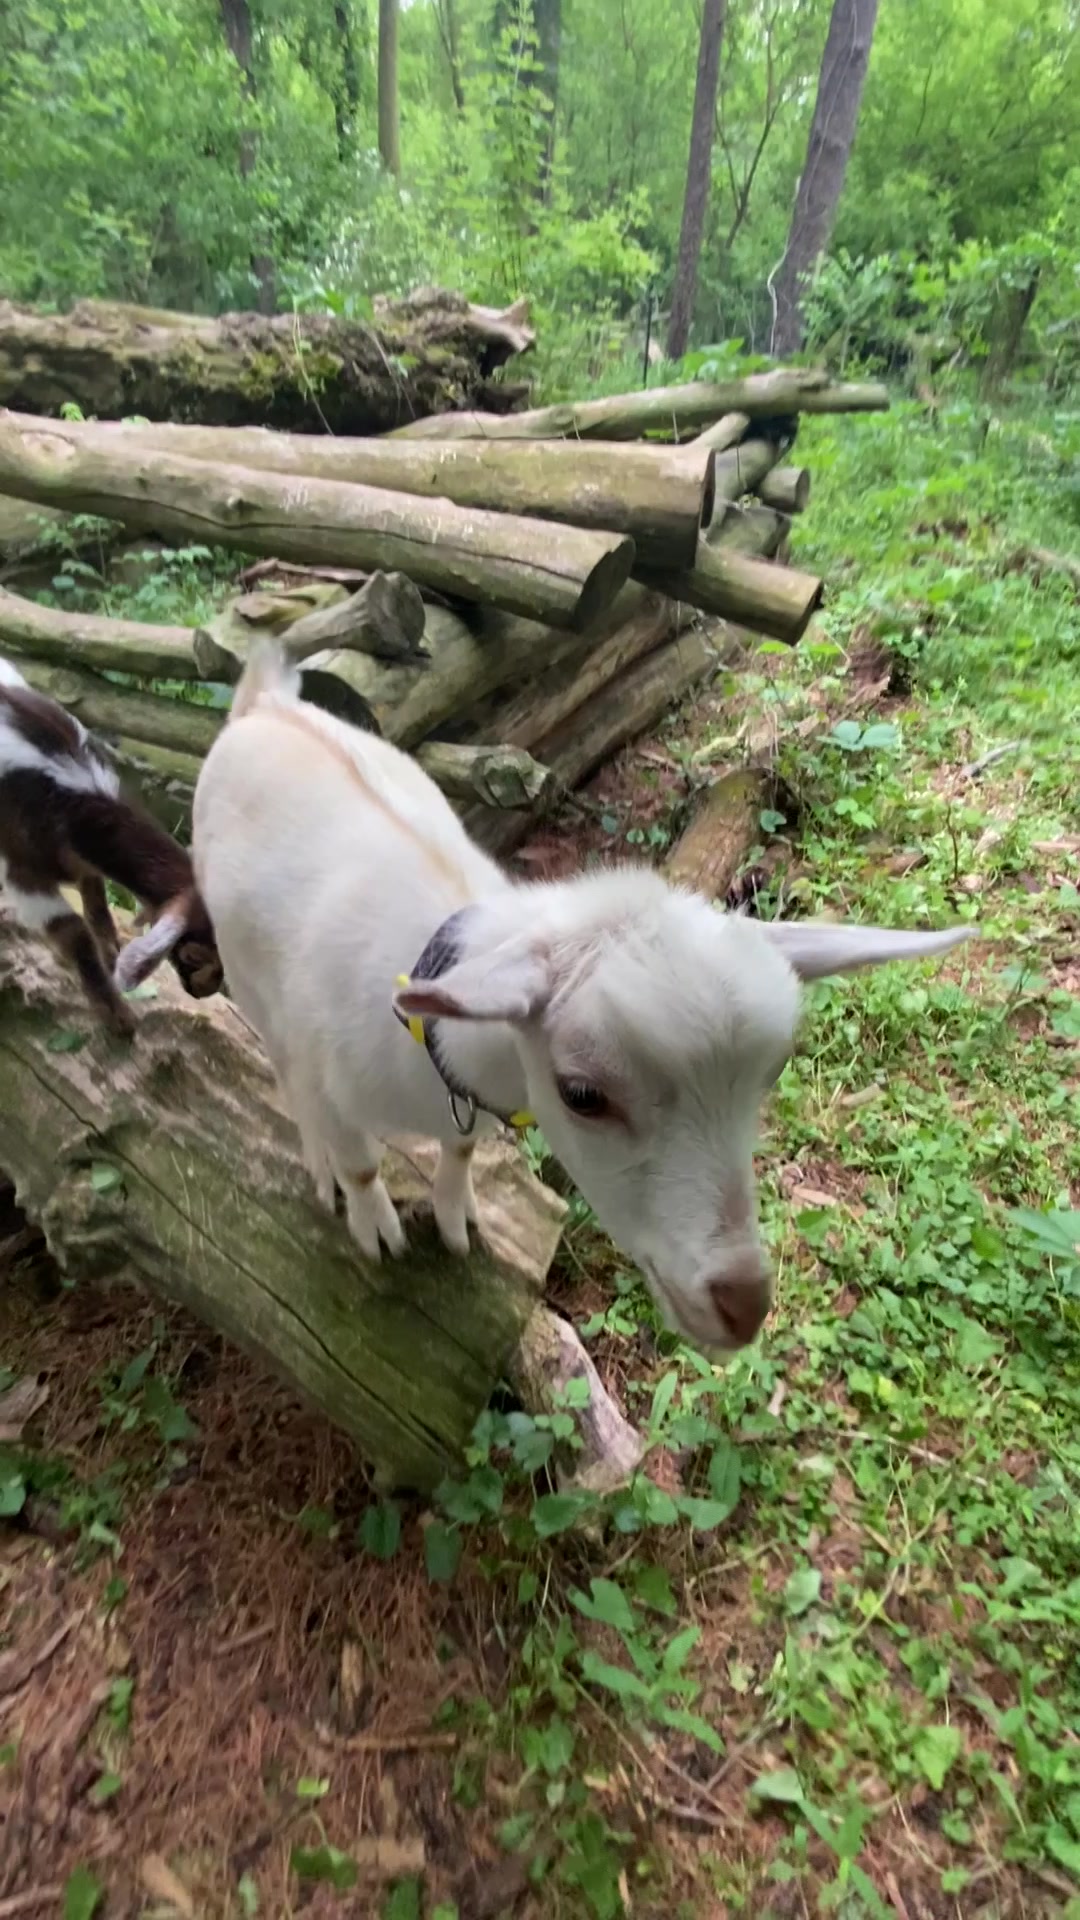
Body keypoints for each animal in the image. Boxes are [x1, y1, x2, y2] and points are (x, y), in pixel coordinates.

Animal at [0, 656, 222, 1034]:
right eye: (194, 953)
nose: (207, 991)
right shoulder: (23, 868)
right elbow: (73, 931)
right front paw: (116, 1016)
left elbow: (96, 900)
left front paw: (110, 952)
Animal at [119, 639, 971, 1353]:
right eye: (582, 1094)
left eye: (773, 1074)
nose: (742, 1306)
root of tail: (263, 700)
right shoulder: (337, 1070)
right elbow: (361, 1161)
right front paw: (374, 1226)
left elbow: (462, 1150)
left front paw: (457, 1219)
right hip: (247, 963)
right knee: (281, 1064)